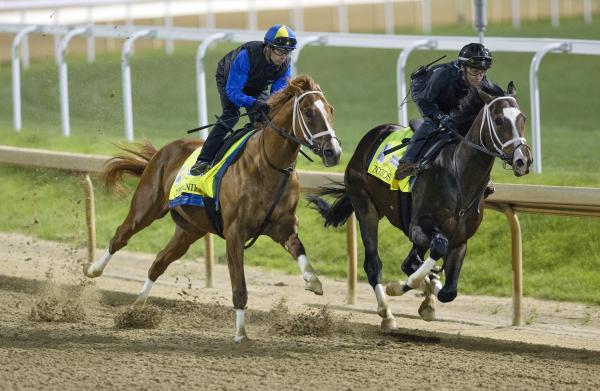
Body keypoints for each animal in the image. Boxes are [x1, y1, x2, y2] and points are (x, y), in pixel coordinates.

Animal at [83, 76, 342, 344]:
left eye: (330, 110)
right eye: (309, 112)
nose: (333, 152)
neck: (268, 165)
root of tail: (161, 152)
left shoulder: (283, 226)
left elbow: (299, 250)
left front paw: (313, 281)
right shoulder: (235, 233)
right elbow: (239, 286)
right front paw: (241, 333)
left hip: (189, 230)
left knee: (159, 262)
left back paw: (135, 310)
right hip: (146, 207)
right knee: (120, 237)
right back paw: (93, 270)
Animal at [310, 84, 528, 332]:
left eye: (523, 118)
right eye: (499, 120)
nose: (523, 160)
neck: (460, 176)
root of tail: (370, 138)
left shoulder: (460, 240)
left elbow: (448, 291)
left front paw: (428, 297)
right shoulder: (419, 227)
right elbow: (435, 250)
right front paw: (399, 287)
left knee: (412, 262)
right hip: (365, 207)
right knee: (374, 264)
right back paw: (387, 313)